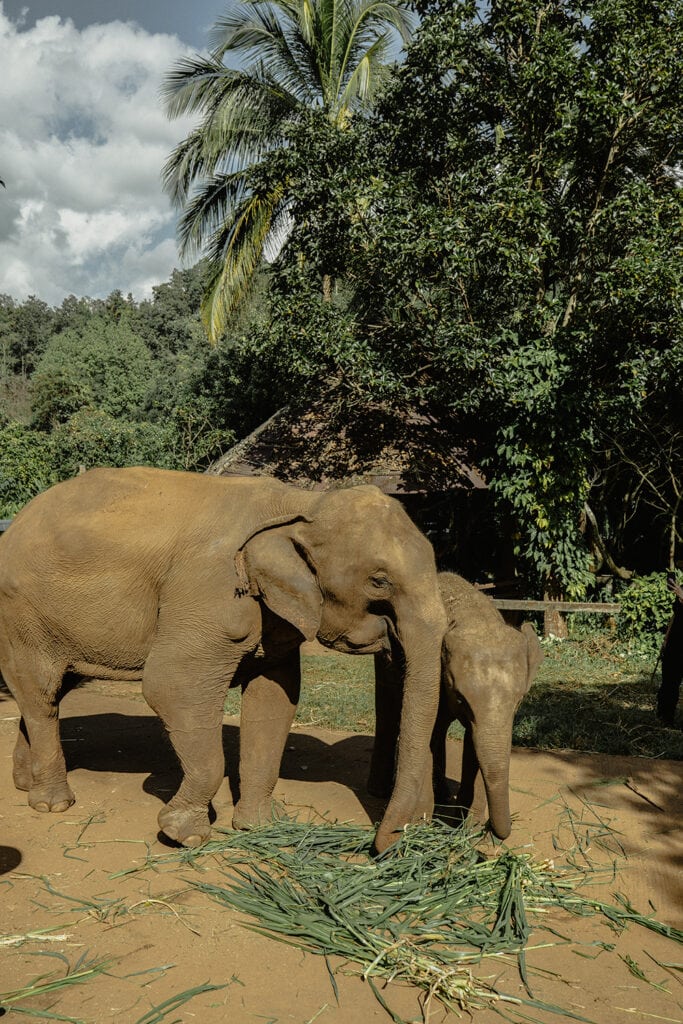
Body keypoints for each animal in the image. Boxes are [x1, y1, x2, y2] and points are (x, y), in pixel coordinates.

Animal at [0, 466, 446, 853]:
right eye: (379, 581)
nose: (381, 846)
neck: (301, 503)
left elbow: (275, 701)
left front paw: (260, 827)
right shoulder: (209, 592)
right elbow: (170, 685)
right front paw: (183, 835)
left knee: (47, 693)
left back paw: (24, 783)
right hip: (21, 615)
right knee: (41, 691)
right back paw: (52, 803)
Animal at [368, 572, 543, 839]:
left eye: (520, 700)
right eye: (461, 698)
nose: (496, 831)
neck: (475, 619)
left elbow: (473, 744)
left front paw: (469, 826)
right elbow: (429, 735)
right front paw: (421, 826)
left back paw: (445, 796)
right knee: (389, 707)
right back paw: (380, 792)